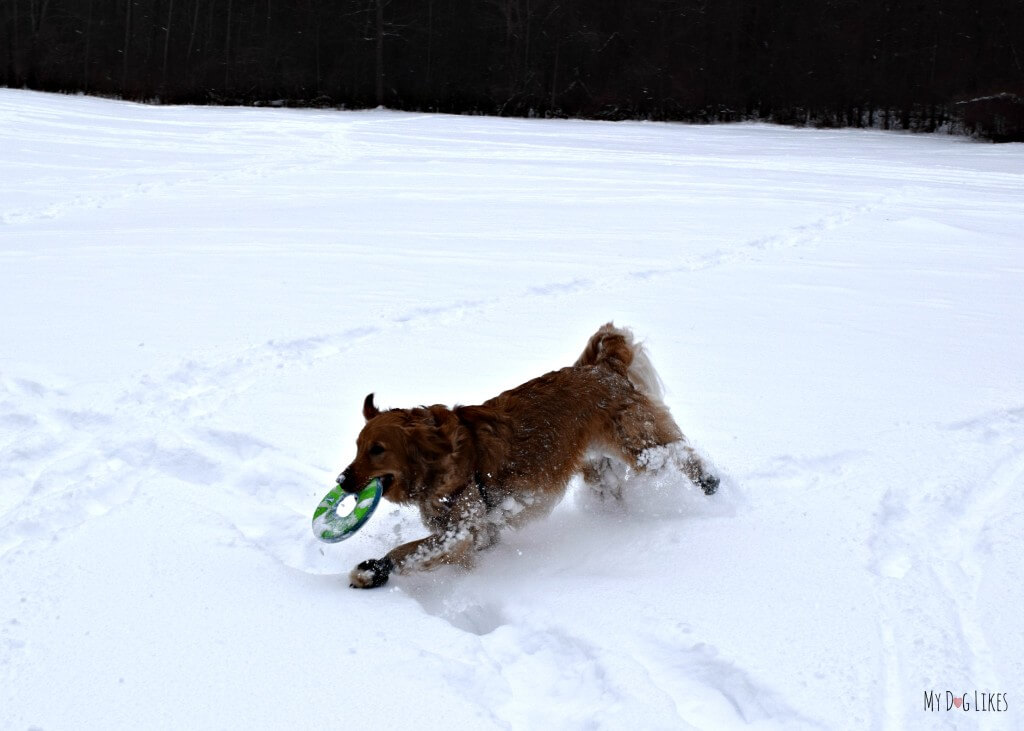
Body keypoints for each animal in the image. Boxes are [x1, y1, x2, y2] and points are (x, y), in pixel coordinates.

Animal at [339, 323, 716, 585]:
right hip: (598, 471)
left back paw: (709, 482)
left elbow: (410, 550)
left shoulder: (463, 530)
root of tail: (603, 367)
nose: (341, 481)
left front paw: (374, 569)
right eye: (357, 448)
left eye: (377, 450)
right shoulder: (478, 533)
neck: (443, 461)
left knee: (680, 453)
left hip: (639, 447)